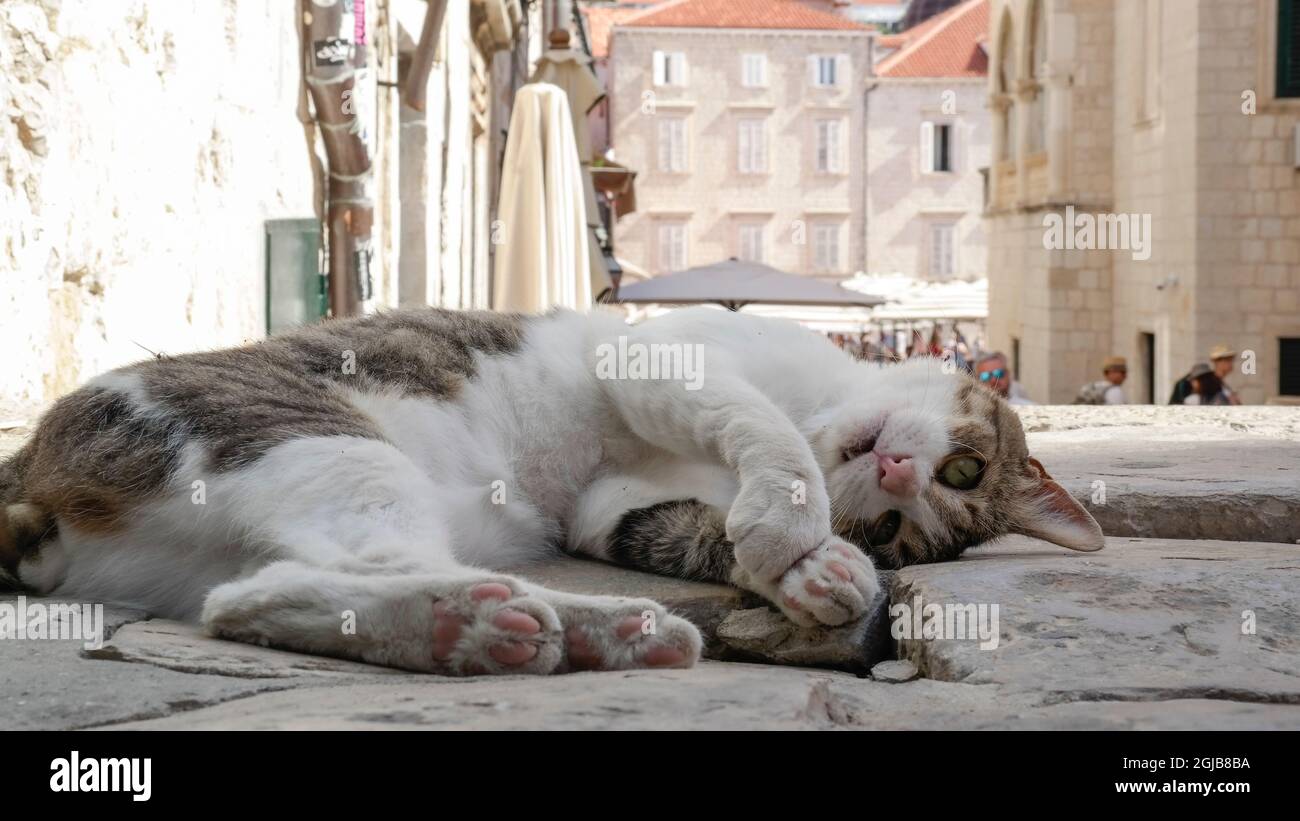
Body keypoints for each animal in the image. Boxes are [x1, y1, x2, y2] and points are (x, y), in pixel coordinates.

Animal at [0, 306, 1102, 675]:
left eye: (896, 528)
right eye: (962, 466)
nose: (896, 470)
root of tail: (29, 476)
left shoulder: (612, 505)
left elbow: (686, 526)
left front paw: (816, 569)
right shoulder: (663, 356)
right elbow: (766, 432)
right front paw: (794, 521)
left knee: (249, 596)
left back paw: (576, 631)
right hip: (314, 436)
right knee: (266, 593)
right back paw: (486, 624)